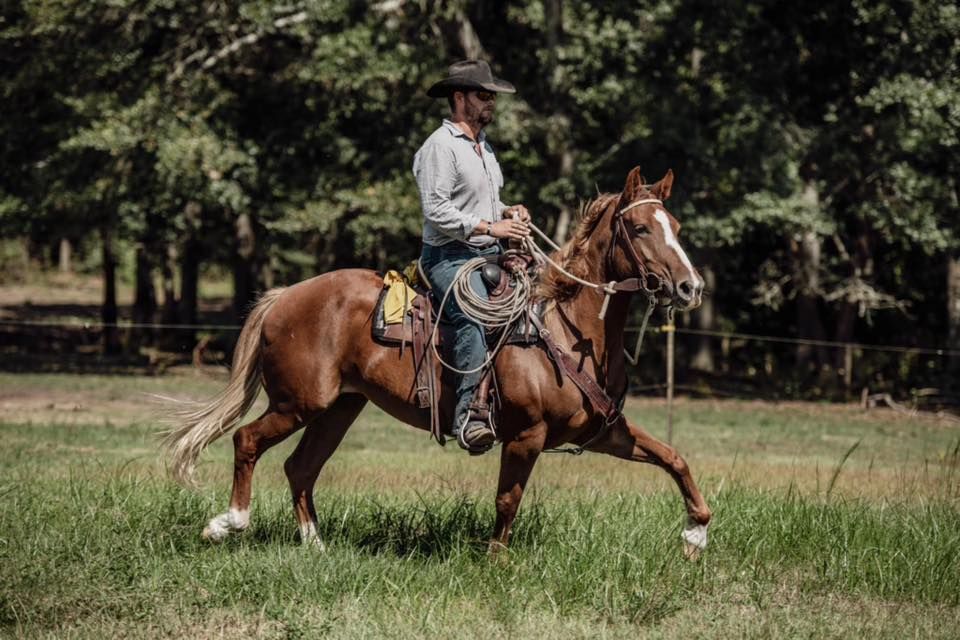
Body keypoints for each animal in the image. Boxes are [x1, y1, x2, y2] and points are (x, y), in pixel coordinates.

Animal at [165, 165, 712, 556]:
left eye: (675, 226)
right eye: (639, 228)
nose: (691, 287)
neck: (564, 328)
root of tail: (285, 297)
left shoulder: (604, 433)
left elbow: (674, 458)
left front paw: (696, 533)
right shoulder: (526, 436)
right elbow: (507, 500)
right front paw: (495, 562)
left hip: (339, 408)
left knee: (300, 467)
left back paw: (314, 546)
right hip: (298, 403)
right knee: (247, 440)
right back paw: (229, 523)